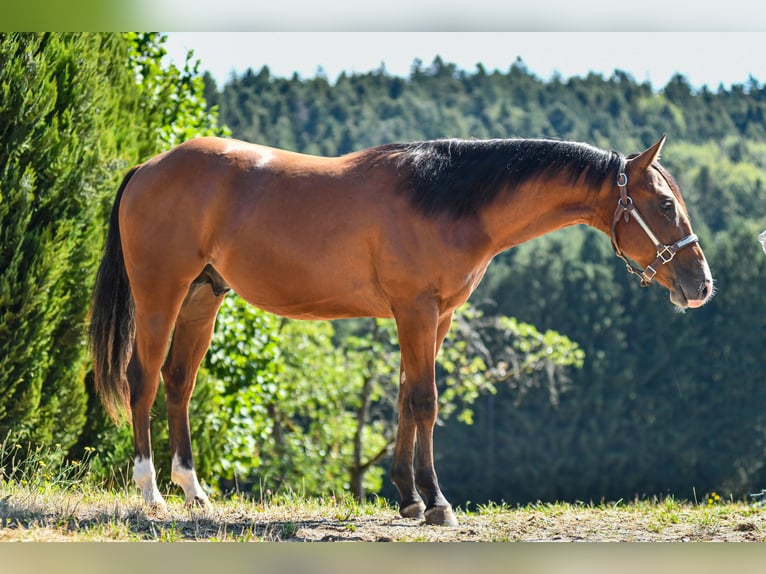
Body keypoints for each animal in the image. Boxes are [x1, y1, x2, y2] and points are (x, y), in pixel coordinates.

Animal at [89, 134, 713, 526]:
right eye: (663, 204)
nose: (701, 284)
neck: (446, 197)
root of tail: (148, 168)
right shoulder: (416, 310)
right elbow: (425, 401)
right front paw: (436, 502)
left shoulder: (436, 317)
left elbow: (404, 399)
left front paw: (408, 498)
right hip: (161, 295)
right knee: (143, 381)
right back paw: (152, 494)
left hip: (203, 297)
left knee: (178, 384)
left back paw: (194, 493)